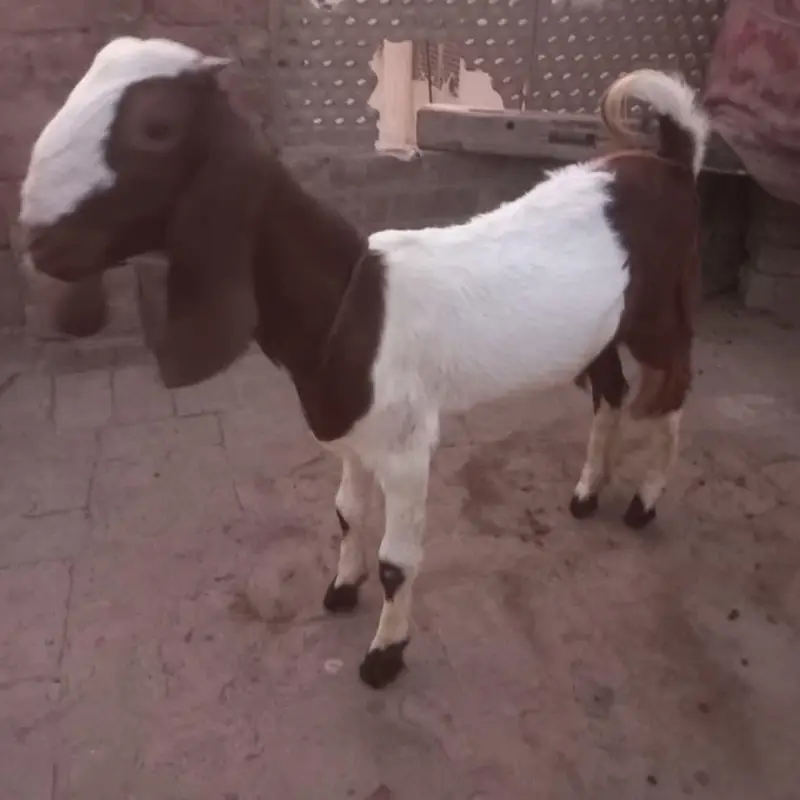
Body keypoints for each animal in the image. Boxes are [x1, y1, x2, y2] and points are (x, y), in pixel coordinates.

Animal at [19, 37, 706, 689]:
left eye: (156, 127)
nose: (35, 239)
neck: (353, 301)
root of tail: (671, 161)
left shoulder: (406, 449)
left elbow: (396, 561)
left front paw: (385, 655)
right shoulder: (351, 433)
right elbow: (348, 512)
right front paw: (341, 589)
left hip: (657, 315)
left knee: (671, 394)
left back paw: (643, 503)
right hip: (601, 331)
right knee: (611, 392)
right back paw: (587, 493)